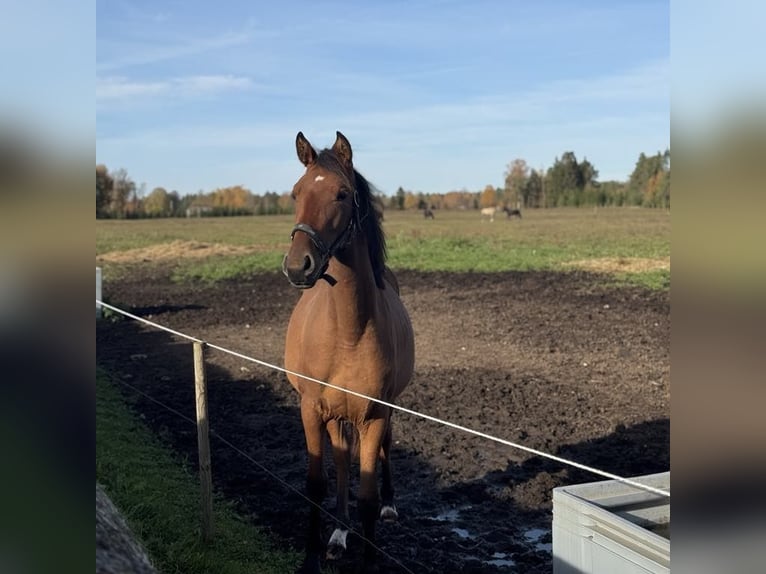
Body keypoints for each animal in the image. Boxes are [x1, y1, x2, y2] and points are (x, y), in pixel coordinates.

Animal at [282, 132, 414, 574]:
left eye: (341, 194)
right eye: (296, 192)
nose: (298, 266)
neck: (347, 333)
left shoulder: (373, 415)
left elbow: (368, 497)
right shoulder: (311, 409)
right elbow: (317, 482)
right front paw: (312, 557)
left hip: (382, 411)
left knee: (385, 448)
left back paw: (390, 505)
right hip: (335, 416)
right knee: (341, 463)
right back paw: (339, 533)